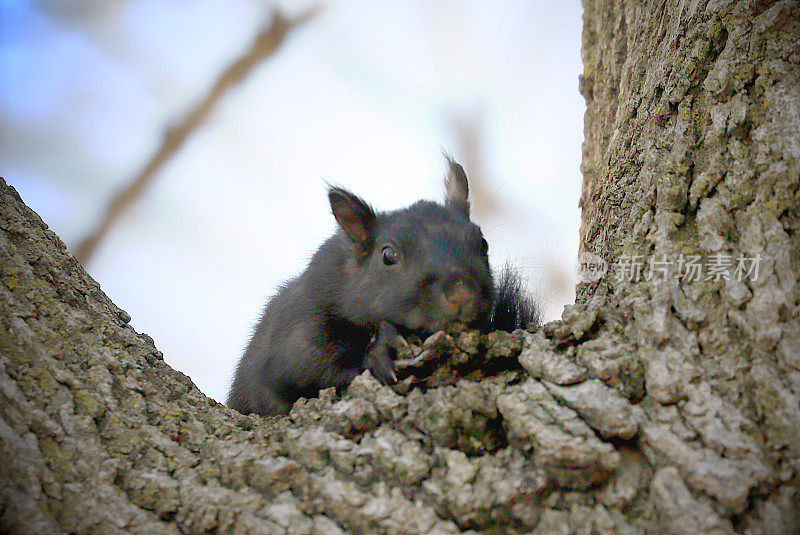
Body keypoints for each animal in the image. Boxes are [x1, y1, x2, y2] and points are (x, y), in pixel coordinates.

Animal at [228, 157, 540, 416]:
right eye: (388, 255)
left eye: (483, 243)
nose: (462, 295)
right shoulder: (299, 322)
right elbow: (304, 363)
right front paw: (381, 349)